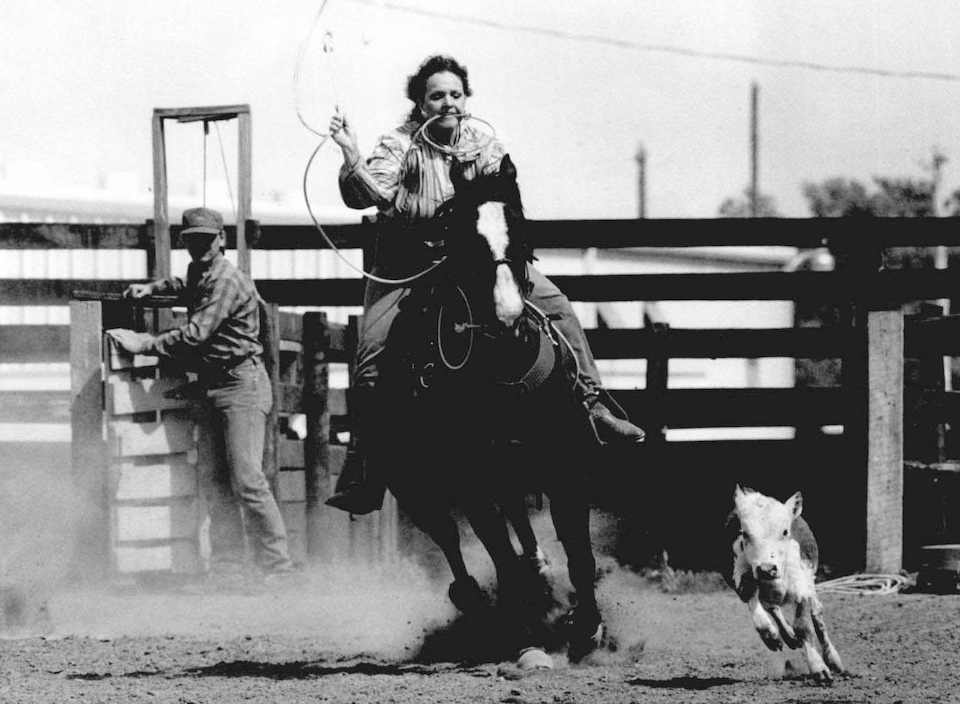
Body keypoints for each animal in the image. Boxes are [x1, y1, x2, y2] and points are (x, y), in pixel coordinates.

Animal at [370, 155, 608, 664]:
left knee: (520, 524)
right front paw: (526, 636)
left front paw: (588, 628)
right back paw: (480, 604)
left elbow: (578, 551)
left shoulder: (565, 464)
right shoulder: (473, 483)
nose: (508, 322)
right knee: (450, 538)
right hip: (419, 486)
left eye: (522, 236)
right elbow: (499, 554)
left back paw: (539, 574)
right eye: (464, 241)